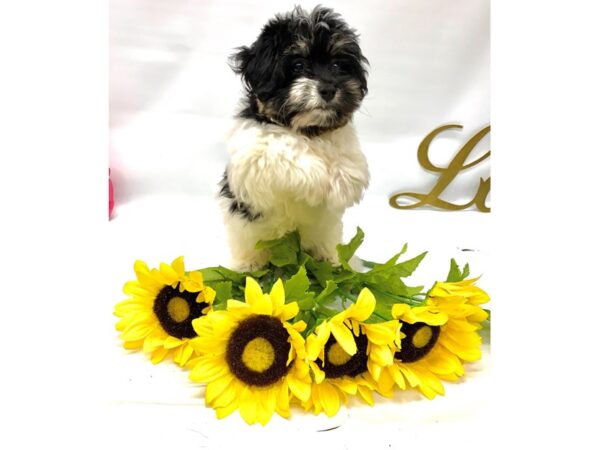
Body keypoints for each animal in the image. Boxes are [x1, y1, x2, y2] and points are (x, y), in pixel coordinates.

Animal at [220, 5, 370, 270]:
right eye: (298, 65)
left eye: (337, 66)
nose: (328, 89)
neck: (307, 130)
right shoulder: (253, 158)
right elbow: (284, 149)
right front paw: (318, 178)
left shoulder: (342, 139)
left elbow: (348, 159)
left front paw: (344, 182)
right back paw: (246, 267)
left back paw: (339, 263)